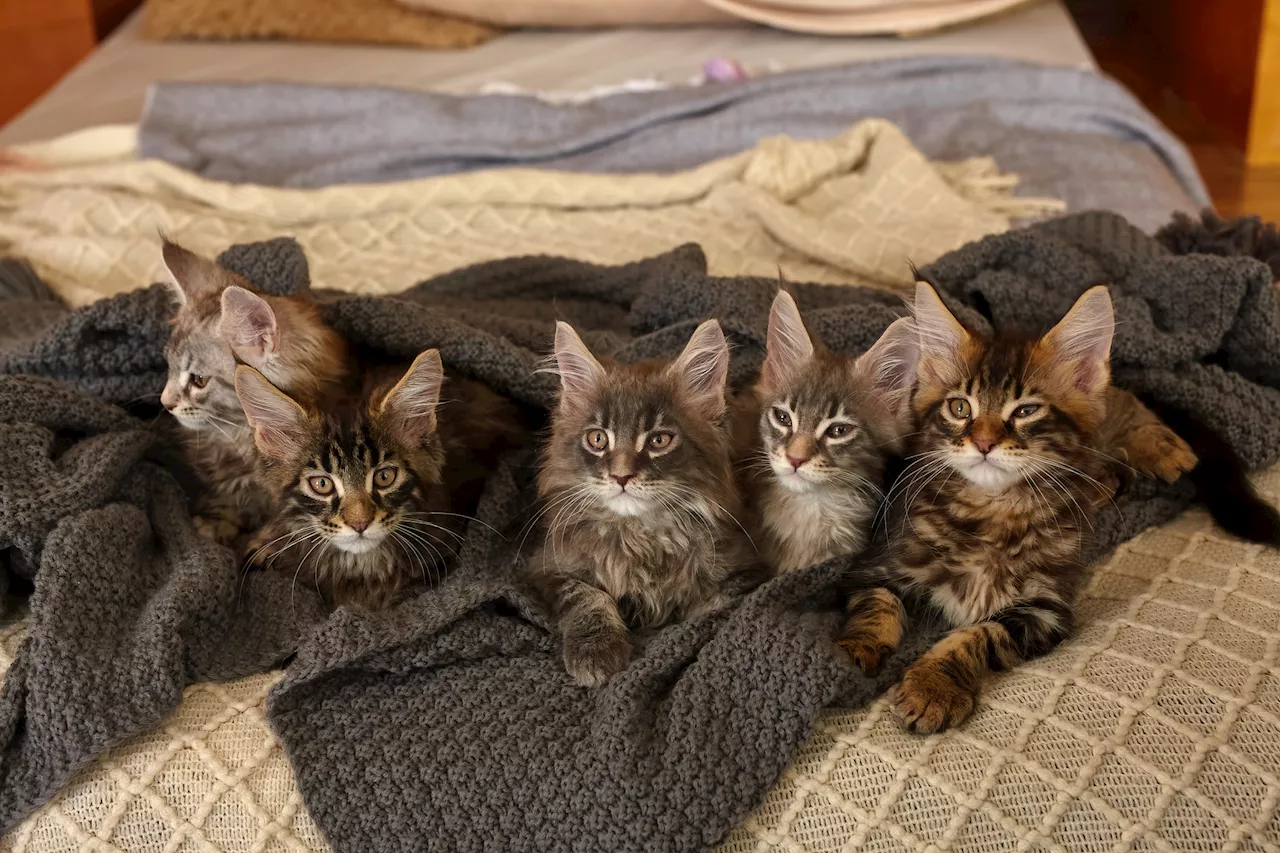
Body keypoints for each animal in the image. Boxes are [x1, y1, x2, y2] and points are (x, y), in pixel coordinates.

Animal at [532, 318, 752, 686]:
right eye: (597, 439)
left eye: (659, 440)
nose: (621, 476)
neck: (640, 535)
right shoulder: (547, 566)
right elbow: (586, 595)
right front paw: (596, 651)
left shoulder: (742, 571)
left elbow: (709, 613)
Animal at [839, 280, 1131, 732]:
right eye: (960, 407)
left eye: (1026, 410)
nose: (984, 443)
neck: (993, 512)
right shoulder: (875, 568)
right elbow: (878, 607)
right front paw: (856, 649)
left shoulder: (1046, 610)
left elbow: (976, 636)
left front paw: (932, 686)